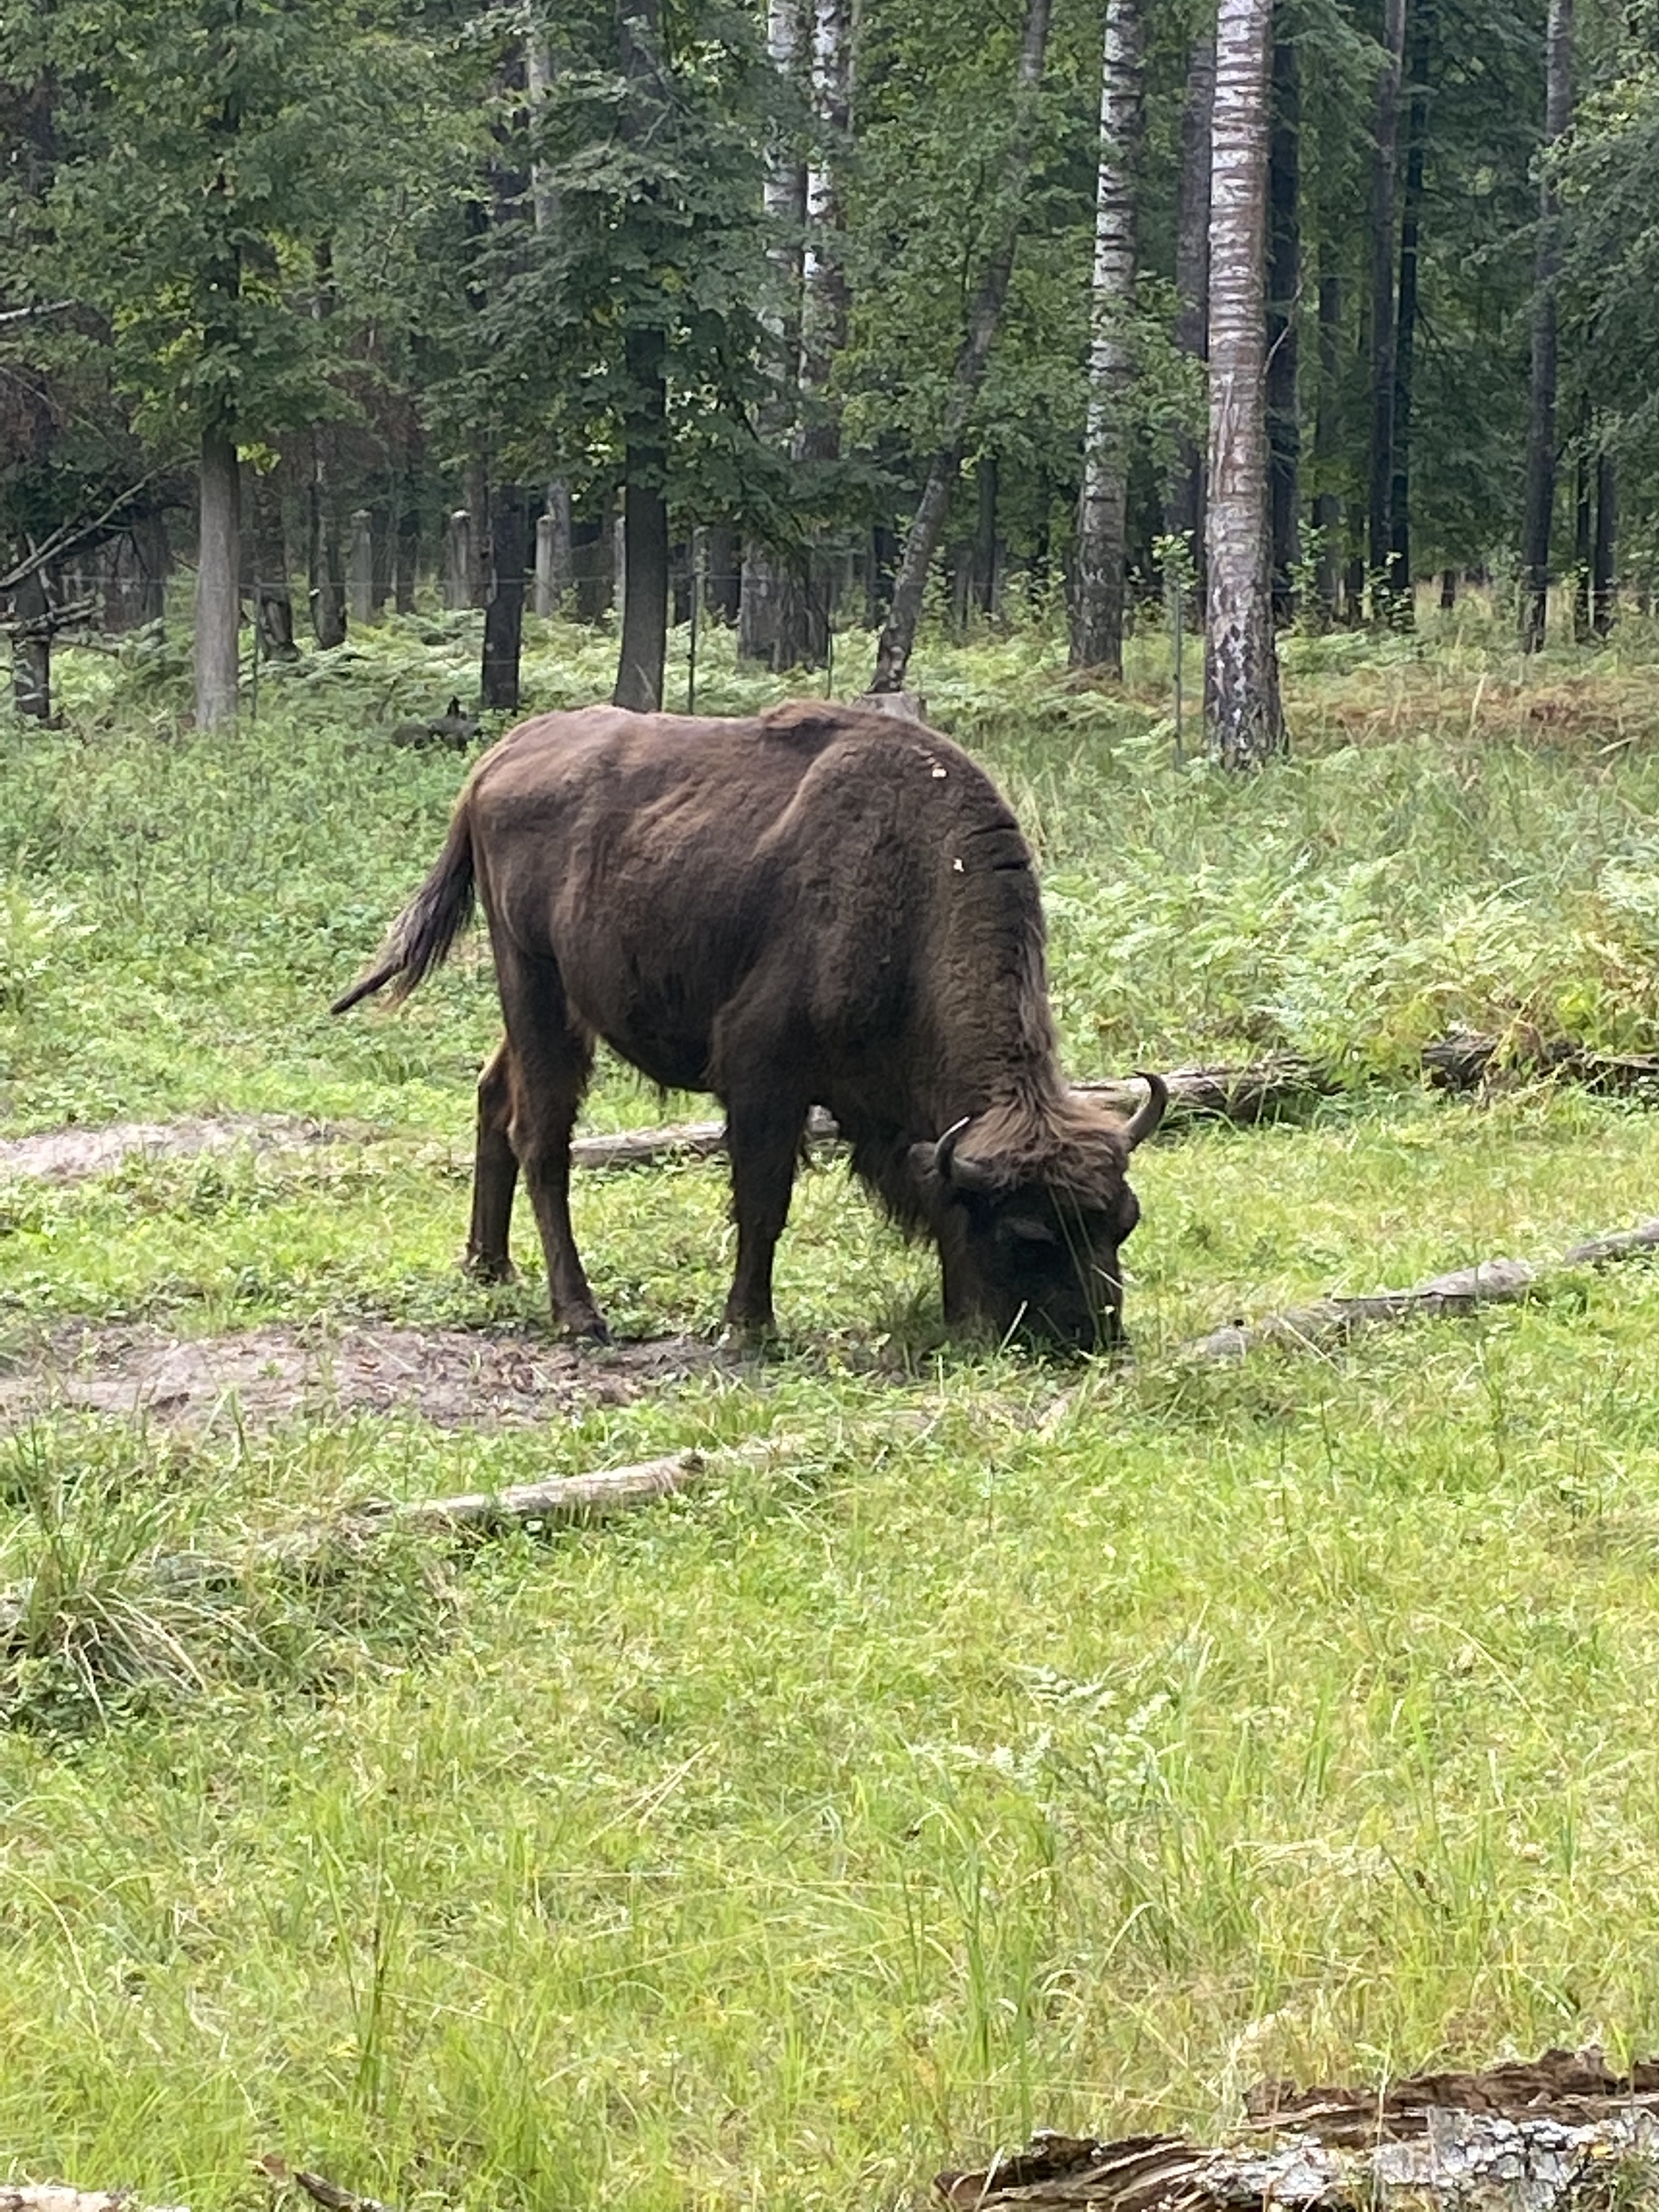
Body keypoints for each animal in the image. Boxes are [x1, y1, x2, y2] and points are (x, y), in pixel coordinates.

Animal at [334, 698, 1167, 1345]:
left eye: (1122, 1221)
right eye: (1030, 1235)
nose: (1094, 1336)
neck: (910, 890)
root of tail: (495, 762)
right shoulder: (765, 1076)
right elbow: (765, 1203)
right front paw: (749, 1326)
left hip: (556, 1005)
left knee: (492, 1096)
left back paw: (487, 1264)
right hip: (535, 988)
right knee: (541, 1139)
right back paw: (580, 1314)